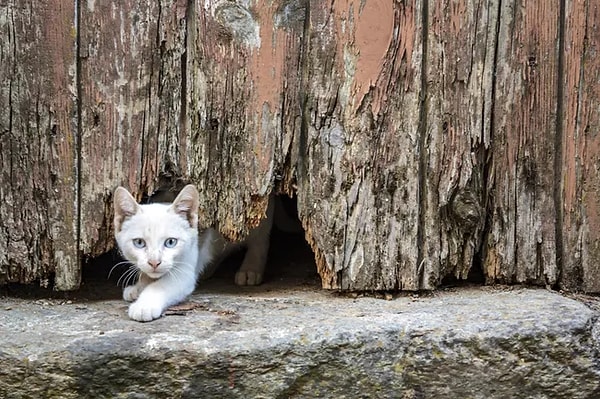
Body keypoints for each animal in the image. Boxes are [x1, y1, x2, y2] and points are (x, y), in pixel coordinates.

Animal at [112, 184, 272, 322]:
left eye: (170, 242)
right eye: (139, 243)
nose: (154, 262)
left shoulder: (184, 271)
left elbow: (161, 286)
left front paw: (144, 305)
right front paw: (139, 285)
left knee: (260, 239)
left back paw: (250, 269)